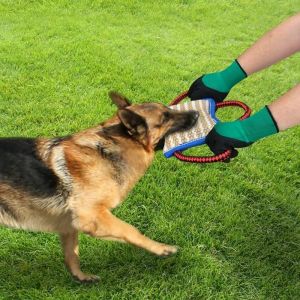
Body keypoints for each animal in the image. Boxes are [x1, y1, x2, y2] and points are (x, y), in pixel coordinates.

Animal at [0, 92, 199, 282]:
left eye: (169, 110)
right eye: (165, 117)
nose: (197, 113)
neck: (113, 148)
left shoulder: (70, 225)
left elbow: (72, 254)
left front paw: (80, 277)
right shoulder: (92, 215)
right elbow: (130, 230)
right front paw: (161, 248)